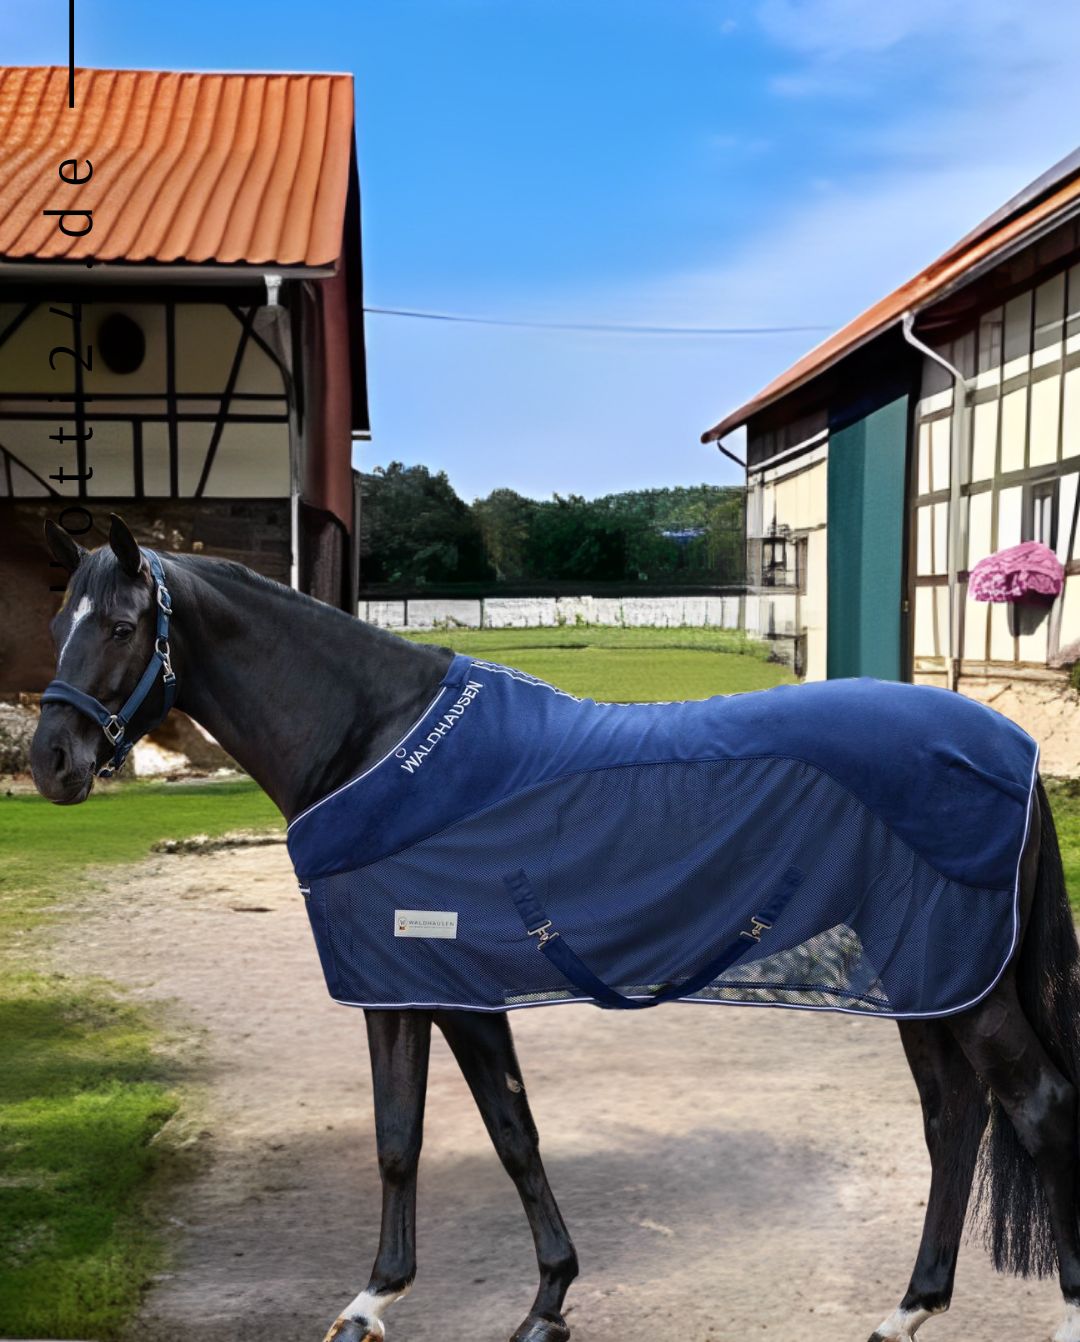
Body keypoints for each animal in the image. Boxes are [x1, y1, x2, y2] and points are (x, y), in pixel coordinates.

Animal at [28, 514, 1080, 1342]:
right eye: (55, 625)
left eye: (121, 626)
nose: (50, 762)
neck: (373, 743)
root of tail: (1014, 749)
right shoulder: (430, 986)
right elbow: (478, 1133)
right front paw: (513, 1301)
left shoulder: (420, 984)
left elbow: (436, 1135)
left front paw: (407, 1302)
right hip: (930, 976)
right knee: (954, 1120)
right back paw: (908, 1307)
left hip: (958, 982)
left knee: (1038, 1110)